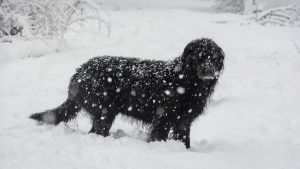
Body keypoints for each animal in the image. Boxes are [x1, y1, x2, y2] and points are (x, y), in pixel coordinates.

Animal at [30, 38, 224, 148]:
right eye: (199, 56)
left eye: (213, 58)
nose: (208, 70)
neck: (185, 82)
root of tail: (80, 71)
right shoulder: (163, 118)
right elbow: (158, 137)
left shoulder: (183, 121)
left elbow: (184, 141)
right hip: (104, 112)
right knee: (96, 132)